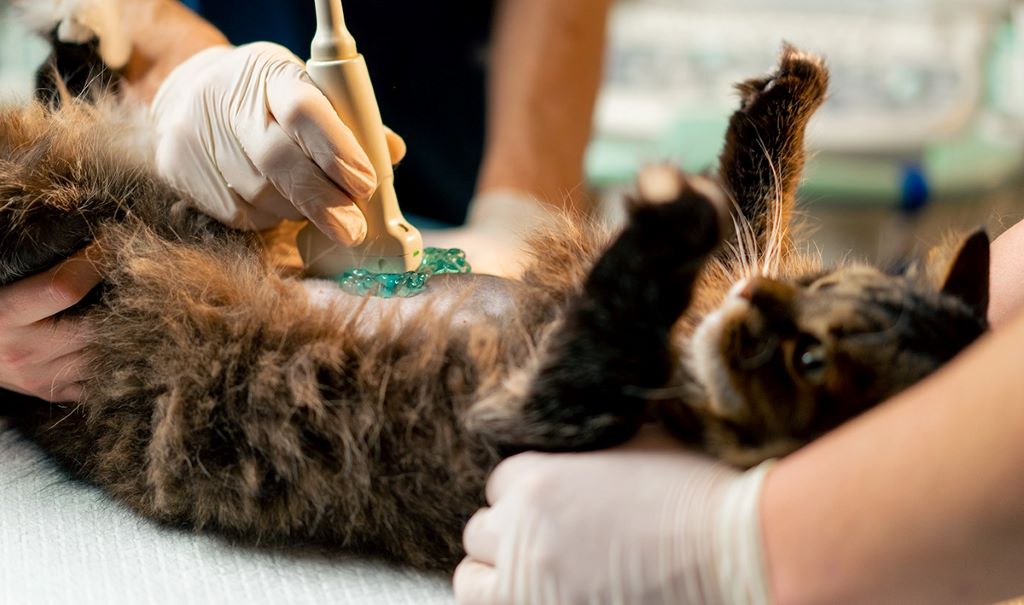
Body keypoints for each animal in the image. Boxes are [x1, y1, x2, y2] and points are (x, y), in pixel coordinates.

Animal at [0, 37, 989, 572]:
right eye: (815, 292)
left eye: (809, 361)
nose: (760, 305)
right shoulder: (734, 271)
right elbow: (758, 201)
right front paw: (788, 96)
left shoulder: (520, 415)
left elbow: (648, 289)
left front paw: (670, 217)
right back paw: (82, 49)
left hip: (48, 227)